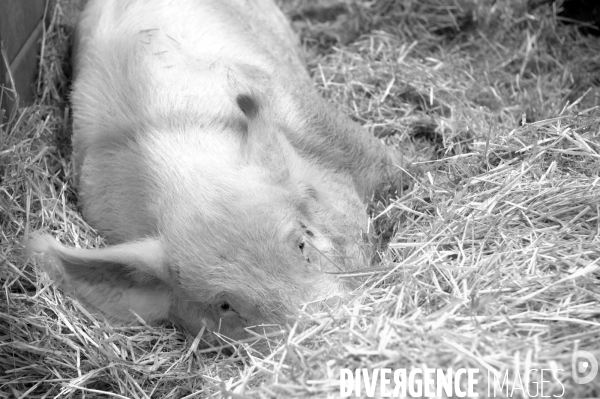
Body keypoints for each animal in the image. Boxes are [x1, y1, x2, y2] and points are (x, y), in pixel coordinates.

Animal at [27, 0, 404, 344]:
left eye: (302, 241)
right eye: (224, 305)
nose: (325, 331)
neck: (189, 177)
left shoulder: (319, 123)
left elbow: (392, 168)